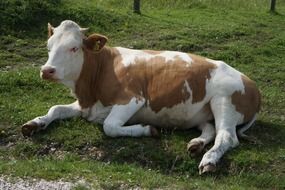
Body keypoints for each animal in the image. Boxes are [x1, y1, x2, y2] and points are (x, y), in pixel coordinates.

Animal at [20, 20, 260, 174]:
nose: (47, 70)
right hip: (202, 113)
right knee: (211, 129)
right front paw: (33, 123)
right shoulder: (86, 105)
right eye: (48, 46)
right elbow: (56, 109)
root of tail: (252, 84)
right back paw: (196, 144)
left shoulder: (133, 98)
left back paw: (209, 160)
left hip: (224, 101)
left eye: (74, 48)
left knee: (227, 136)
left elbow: (109, 126)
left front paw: (148, 129)